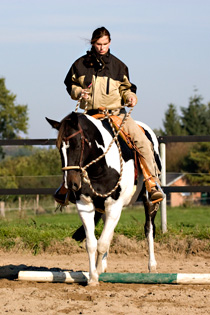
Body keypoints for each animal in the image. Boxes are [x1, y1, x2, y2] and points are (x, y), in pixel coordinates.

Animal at [46, 111, 161, 286]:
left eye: (77, 145)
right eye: (59, 148)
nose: (72, 184)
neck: (99, 168)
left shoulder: (115, 206)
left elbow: (102, 243)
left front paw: (96, 274)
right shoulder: (84, 205)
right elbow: (92, 243)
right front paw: (93, 277)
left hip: (149, 201)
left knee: (149, 228)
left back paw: (152, 266)